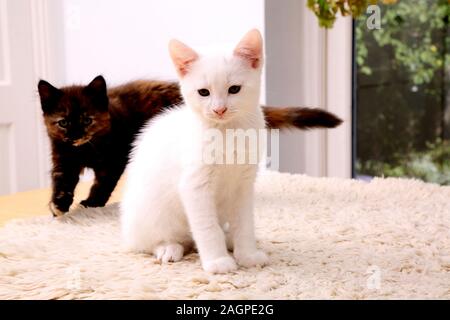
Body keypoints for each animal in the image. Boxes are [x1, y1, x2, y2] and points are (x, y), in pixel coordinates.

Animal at [39, 74, 342, 218]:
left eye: (87, 119)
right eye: (63, 122)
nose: (74, 134)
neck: (85, 149)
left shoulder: (113, 160)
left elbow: (103, 183)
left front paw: (91, 204)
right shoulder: (62, 157)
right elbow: (62, 182)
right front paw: (59, 206)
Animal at [120, 29, 268, 272]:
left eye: (234, 89)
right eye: (203, 92)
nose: (219, 109)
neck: (226, 132)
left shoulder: (244, 184)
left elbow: (244, 223)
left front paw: (247, 254)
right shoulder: (195, 185)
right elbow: (207, 228)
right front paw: (217, 261)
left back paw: (229, 240)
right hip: (150, 215)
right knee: (148, 242)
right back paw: (168, 248)